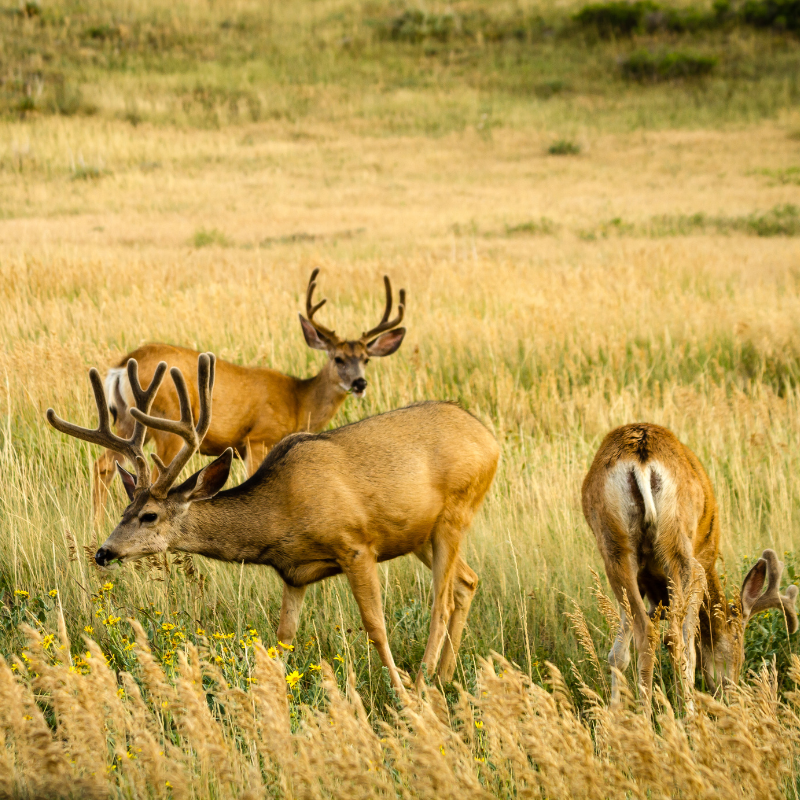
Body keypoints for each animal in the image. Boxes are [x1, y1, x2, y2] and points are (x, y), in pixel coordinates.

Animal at [47, 354, 496, 692]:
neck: (281, 513)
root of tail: (489, 439)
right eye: (123, 511)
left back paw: (422, 685)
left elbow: (375, 627)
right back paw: (445, 679)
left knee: (440, 601)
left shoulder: (355, 546)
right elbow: (283, 638)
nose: (104, 552)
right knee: (467, 582)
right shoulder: (294, 573)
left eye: (149, 515)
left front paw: (401, 695)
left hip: (456, 512)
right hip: (420, 535)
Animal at [91, 272, 410, 524]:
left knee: (103, 466)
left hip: (128, 424)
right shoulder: (258, 438)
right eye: (338, 358)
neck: (299, 400)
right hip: (167, 426)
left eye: (366, 359)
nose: (359, 383)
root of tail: (122, 365)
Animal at [580, 424, 800, 708]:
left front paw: (616, 710)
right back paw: (686, 710)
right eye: (737, 641)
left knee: (644, 634)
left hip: (614, 546)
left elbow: (618, 650)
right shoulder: (700, 571)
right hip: (679, 544)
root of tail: (641, 456)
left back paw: (641, 711)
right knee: (676, 640)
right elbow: (690, 644)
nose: (732, 690)